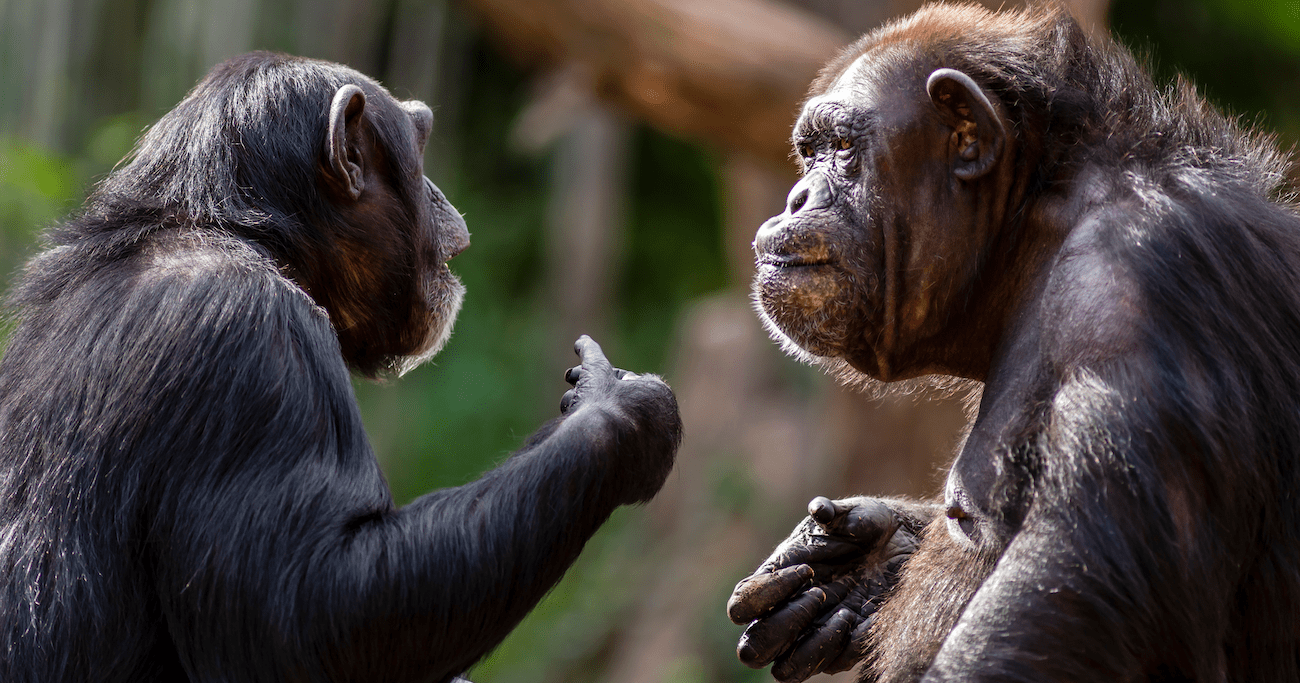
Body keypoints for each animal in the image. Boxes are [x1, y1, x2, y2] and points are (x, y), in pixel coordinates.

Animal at [0, 52, 686, 681]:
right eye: (420, 146)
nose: (440, 193)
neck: (241, 235)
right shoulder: (249, 342)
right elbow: (311, 612)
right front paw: (619, 410)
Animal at [728, 5, 1300, 681]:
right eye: (811, 152)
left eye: (843, 151)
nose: (797, 197)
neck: (1030, 228)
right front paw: (864, 562)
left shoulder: (1134, 290)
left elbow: (1072, 595)